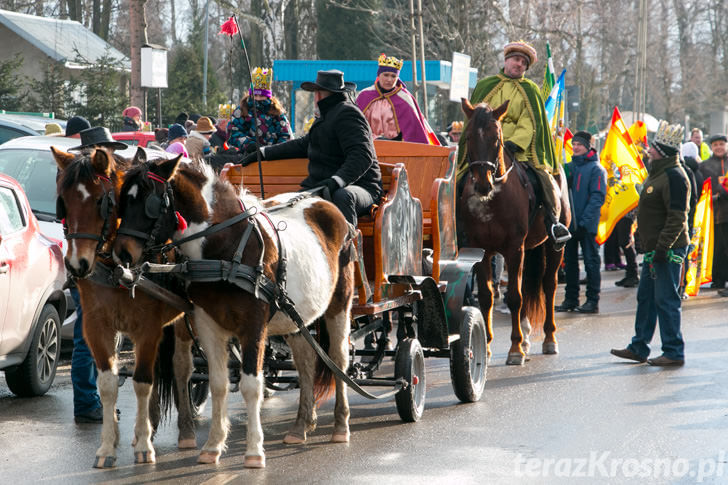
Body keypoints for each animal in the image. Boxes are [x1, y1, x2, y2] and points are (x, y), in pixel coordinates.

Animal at [52, 147, 199, 466]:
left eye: (101, 201)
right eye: (63, 202)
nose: (77, 264)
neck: (116, 269)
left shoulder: (148, 327)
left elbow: (143, 381)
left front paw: (144, 446)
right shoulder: (97, 326)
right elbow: (108, 383)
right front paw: (108, 446)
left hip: (184, 320)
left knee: (181, 368)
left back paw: (185, 430)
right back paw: (150, 424)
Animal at [111, 157, 356, 466]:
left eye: (149, 202)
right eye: (122, 200)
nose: (121, 254)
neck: (226, 249)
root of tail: (324, 203)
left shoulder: (253, 325)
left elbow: (251, 385)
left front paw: (254, 451)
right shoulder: (207, 323)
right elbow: (219, 383)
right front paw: (213, 446)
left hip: (340, 303)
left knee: (339, 360)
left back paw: (340, 426)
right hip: (294, 314)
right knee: (305, 361)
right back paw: (300, 426)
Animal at [460, 99, 568, 364]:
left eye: (497, 138)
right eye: (468, 137)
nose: (483, 184)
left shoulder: (514, 248)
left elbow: (515, 297)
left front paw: (515, 349)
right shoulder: (482, 250)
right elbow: (487, 296)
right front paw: (487, 346)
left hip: (552, 246)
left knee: (548, 285)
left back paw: (548, 339)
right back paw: (527, 336)